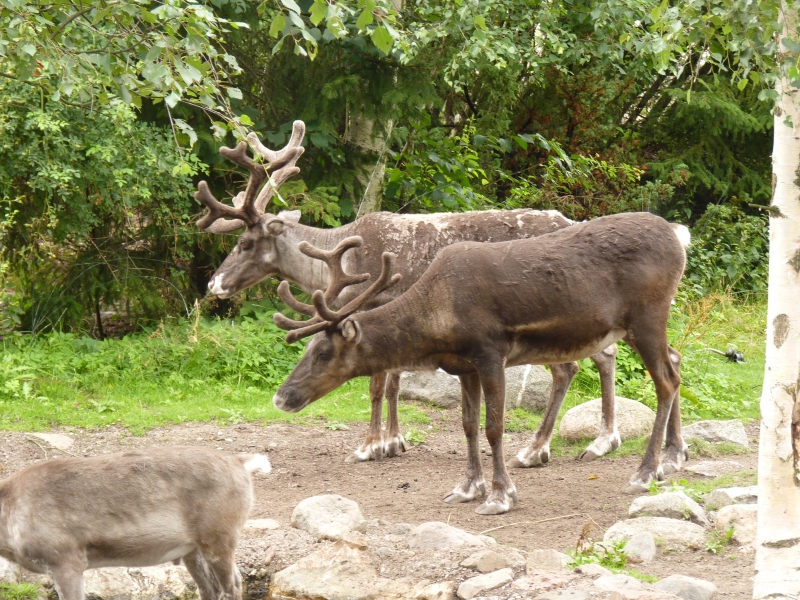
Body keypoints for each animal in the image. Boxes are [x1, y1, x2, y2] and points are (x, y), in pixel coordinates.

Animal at [0, 446, 271, 600]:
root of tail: (240, 462)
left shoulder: (66, 561)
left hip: (219, 537)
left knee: (233, 585)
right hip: (193, 549)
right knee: (209, 589)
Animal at [195, 120, 622, 469]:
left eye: (246, 243)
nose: (214, 283)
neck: (328, 264)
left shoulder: (370, 307)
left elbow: (377, 384)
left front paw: (370, 445)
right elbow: (394, 382)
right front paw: (394, 440)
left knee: (573, 366)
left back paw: (546, 448)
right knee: (603, 354)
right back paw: (596, 441)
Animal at [271, 212, 690, 515]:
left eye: (323, 353)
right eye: (307, 348)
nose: (282, 397)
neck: (436, 322)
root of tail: (678, 236)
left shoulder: (490, 354)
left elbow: (494, 427)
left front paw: (500, 495)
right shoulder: (464, 366)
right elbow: (469, 425)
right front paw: (467, 487)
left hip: (647, 317)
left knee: (666, 381)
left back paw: (644, 472)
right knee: (675, 361)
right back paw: (672, 457)